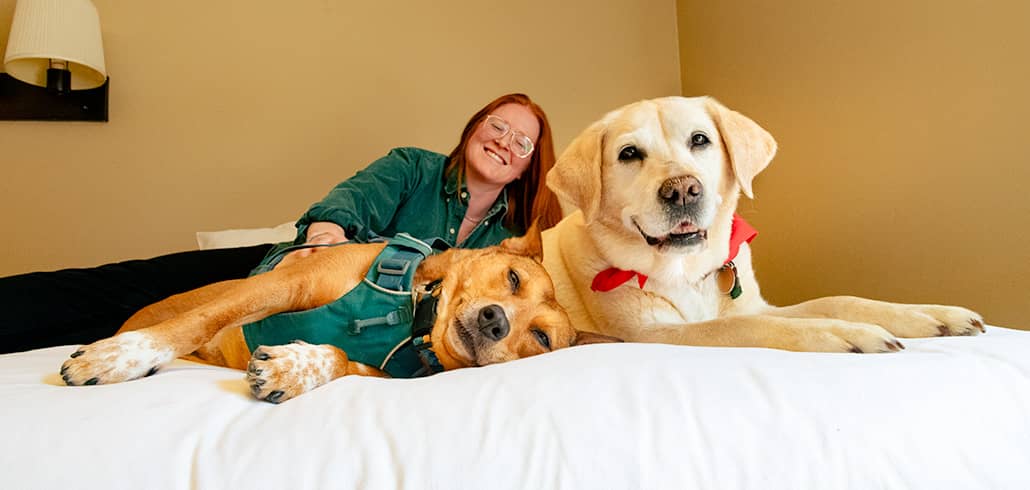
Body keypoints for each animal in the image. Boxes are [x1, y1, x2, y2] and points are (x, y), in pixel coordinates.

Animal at [62, 225, 609, 401]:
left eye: (541, 339)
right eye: (513, 279)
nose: (497, 320)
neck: (413, 318)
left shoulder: (378, 372)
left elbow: (339, 360)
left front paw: (292, 367)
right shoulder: (285, 283)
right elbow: (201, 320)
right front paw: (119, 358)